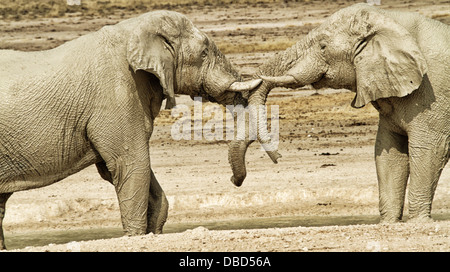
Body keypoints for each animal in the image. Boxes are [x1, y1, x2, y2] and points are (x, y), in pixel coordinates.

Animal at [0, 10, 268, 249]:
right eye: (203, 53)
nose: (234, 180)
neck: (133, 30)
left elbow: (126, 170)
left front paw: (152, 232)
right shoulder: (116, 94)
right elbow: (130, 164)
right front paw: (136, 236)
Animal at [236, 3, 450, 223]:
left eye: (323, 46)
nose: (278, 157)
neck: (391, 18)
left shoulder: (434, 93)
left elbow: (428, 150)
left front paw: (419, 222)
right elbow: (389, 152)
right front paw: (389, 223)